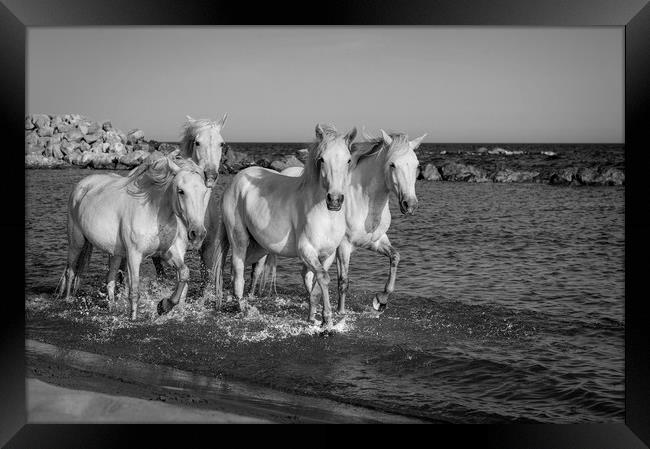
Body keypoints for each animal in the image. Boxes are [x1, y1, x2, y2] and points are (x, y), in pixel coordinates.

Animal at [56, 152, 209, 320]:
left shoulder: (166, 253)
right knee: (70, 272)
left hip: (115, 253)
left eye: (204, 192)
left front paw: (163, 306)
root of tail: (81, 186)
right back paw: (68, 300)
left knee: (110, 279)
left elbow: (184, 273)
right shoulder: (134, 256)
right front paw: (133, 319)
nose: (197, 233)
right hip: (76, 242)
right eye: (181, 191)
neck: (152, 211)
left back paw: (112, 308)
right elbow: (134, 291)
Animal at [201, 122, 354, 326]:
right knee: (237, 272)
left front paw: (313, 317)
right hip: (239, 239)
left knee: (241, 271)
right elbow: (322, 278)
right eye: (321, 159)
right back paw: (243, 309)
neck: (324, 213)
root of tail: (236, 180)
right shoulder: (306, 250)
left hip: (259, 246)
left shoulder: (327, 255)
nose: (335, 200)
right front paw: (327, 320)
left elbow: (317, 284)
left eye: (348, 160)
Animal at [253, 129, 426, 312]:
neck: (364, 201)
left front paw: (381, 300)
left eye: (417, 165)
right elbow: (343, 281)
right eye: (392, 164)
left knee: (307, 275)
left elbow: (395, 257)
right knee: (259, 267)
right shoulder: (344, 245)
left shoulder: (375, 241)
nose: (410, 204)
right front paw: (341, 311)